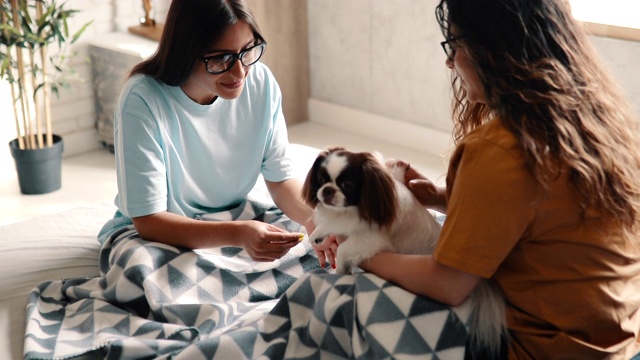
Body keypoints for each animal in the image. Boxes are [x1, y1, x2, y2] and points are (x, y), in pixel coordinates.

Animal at [302, 146, 508, 358]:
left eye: (347, 185)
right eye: (321, 179)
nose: (326, 190)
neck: (353, 209)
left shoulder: (372, 240)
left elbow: (343, 249)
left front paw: (340, 271)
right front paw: (318, 234)